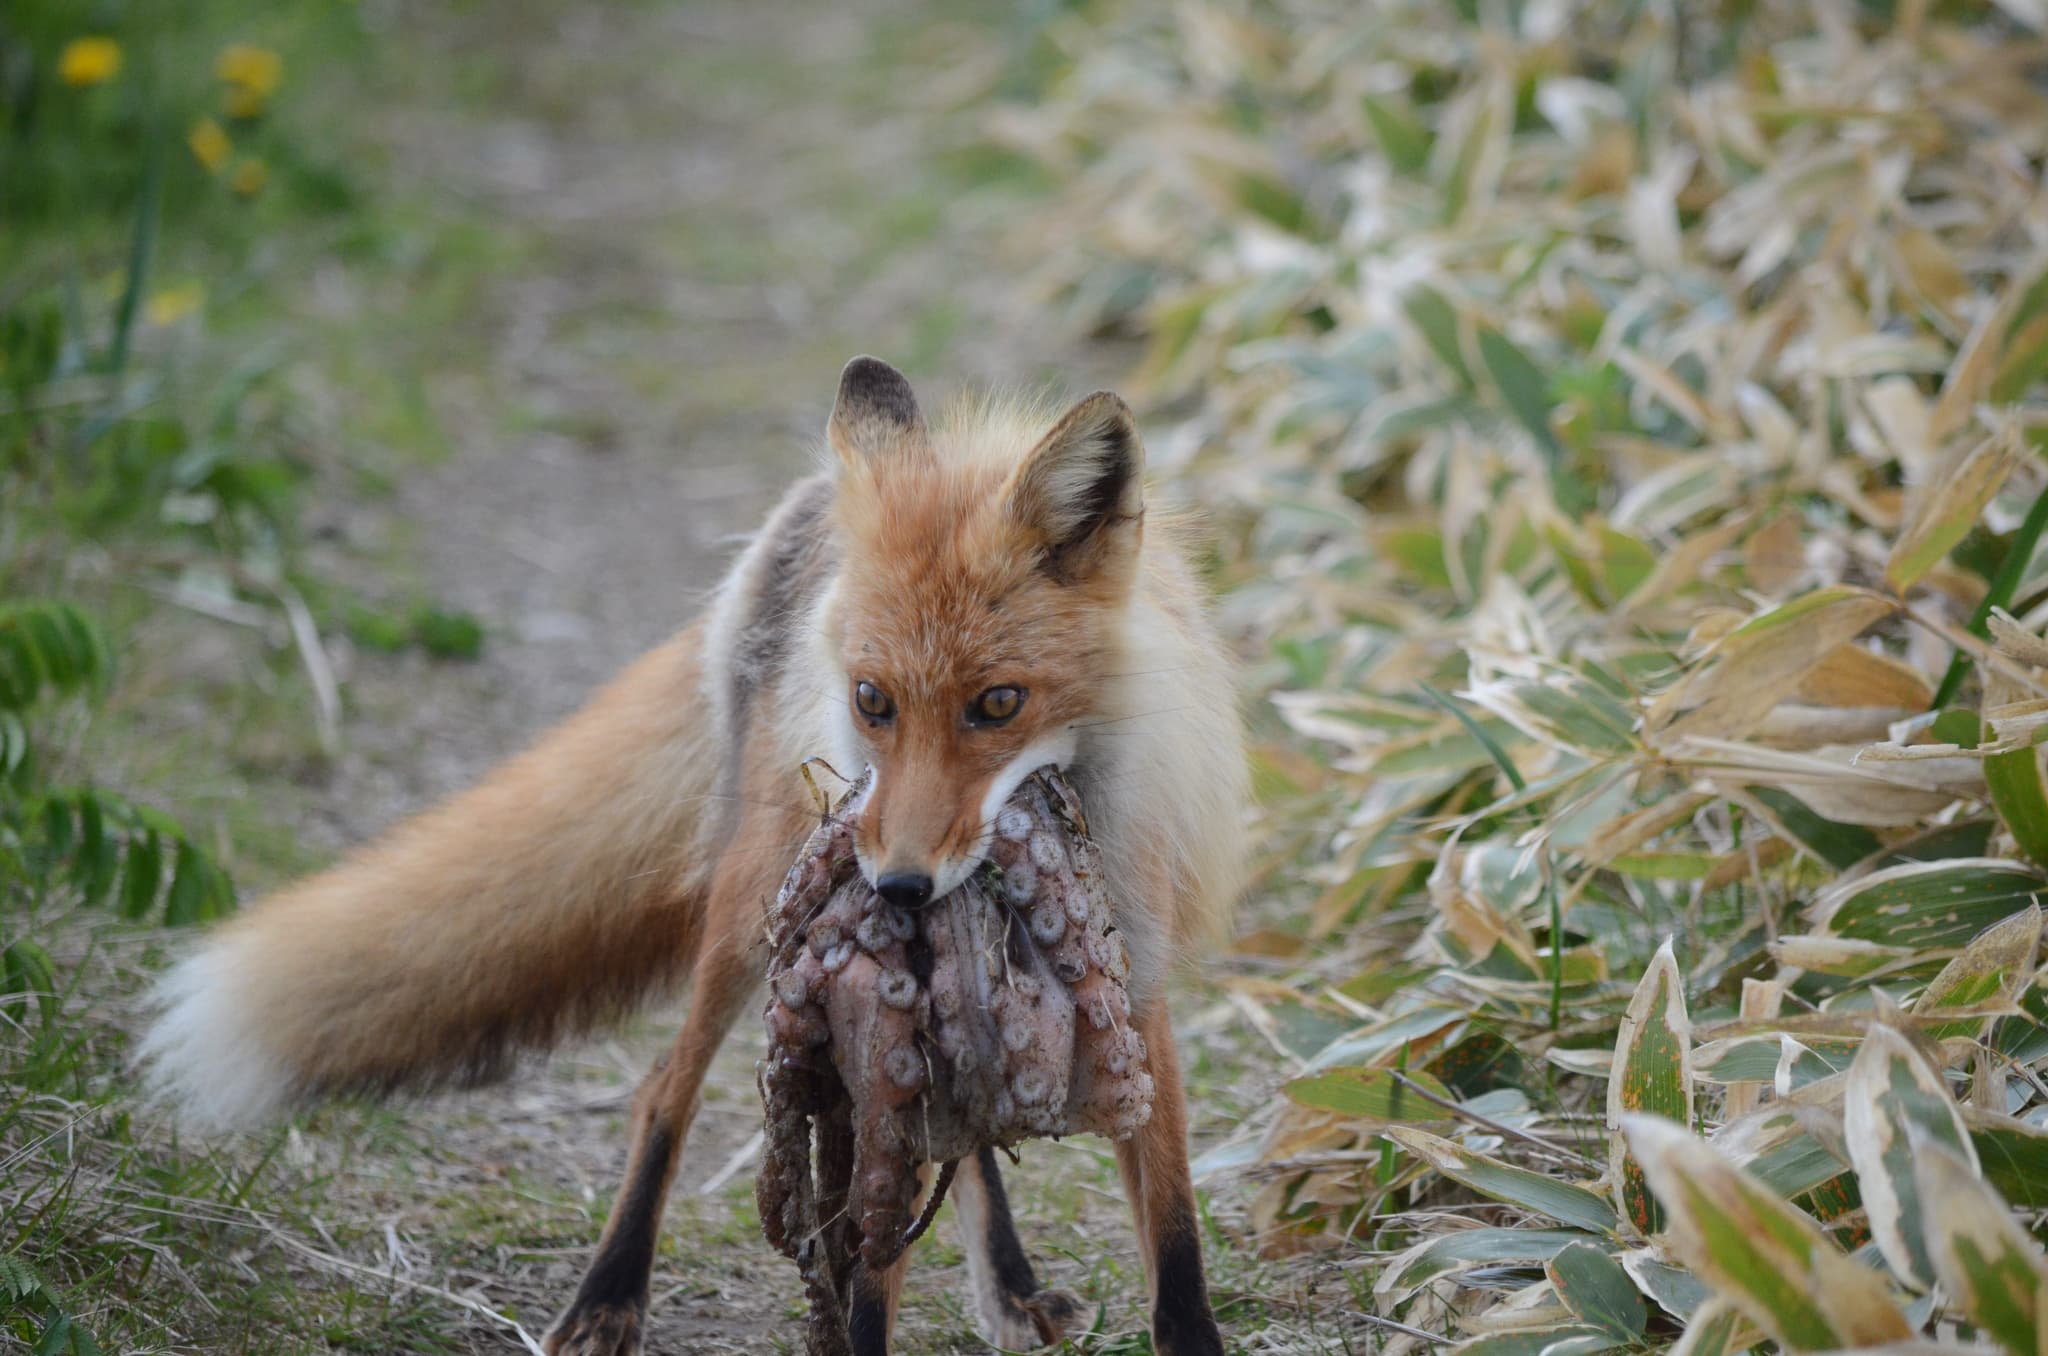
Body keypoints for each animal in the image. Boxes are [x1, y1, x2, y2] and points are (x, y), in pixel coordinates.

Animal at [138, 357, 1249, 1356]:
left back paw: (1008, 1286)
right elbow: (872, 1273)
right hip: (751, 918)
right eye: (872, 701)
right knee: (661, 1089)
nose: (896, 885)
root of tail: (799, 508)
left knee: (952, 1132)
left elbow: (1173, 1238)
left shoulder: (1139, 991)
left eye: (998, 704)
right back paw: (607, 1299)